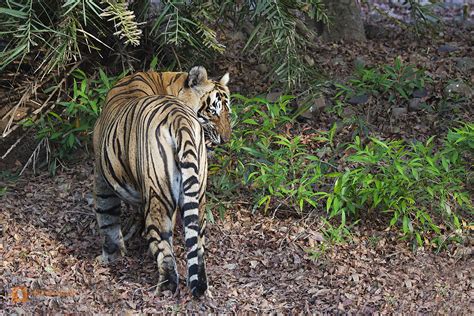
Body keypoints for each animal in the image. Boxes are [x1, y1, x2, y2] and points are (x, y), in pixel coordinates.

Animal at [92, 65, 230, 298]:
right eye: (213, 111)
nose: (227, 139)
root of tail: (180, 119)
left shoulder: (103, 177)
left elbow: (107, 217)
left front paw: (110, 256)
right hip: (198, 193)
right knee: (198, 242)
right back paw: (202, 287)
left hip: (158, 192)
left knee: (163, 242)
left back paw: (165, 287)